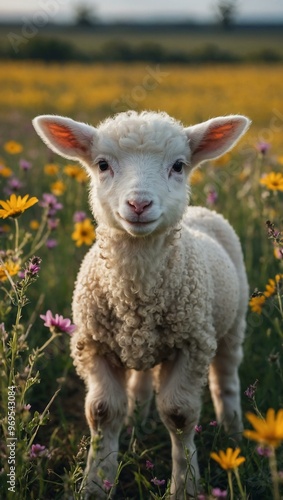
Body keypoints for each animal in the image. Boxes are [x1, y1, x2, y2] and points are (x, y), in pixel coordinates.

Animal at [32, 110, 251, 500]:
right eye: (103, 164)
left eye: (178, 165)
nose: (139, 205)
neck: (136, 292)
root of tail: (199, 210)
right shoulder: (93, 345)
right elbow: (102, 411)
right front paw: (96, 483)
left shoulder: (191, 344)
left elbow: (179, 414)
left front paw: (186, 486)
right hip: (143, 345)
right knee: (142, 382)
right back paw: (137, 422)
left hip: (232, 323)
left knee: (225, 377)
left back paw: (232, 430)